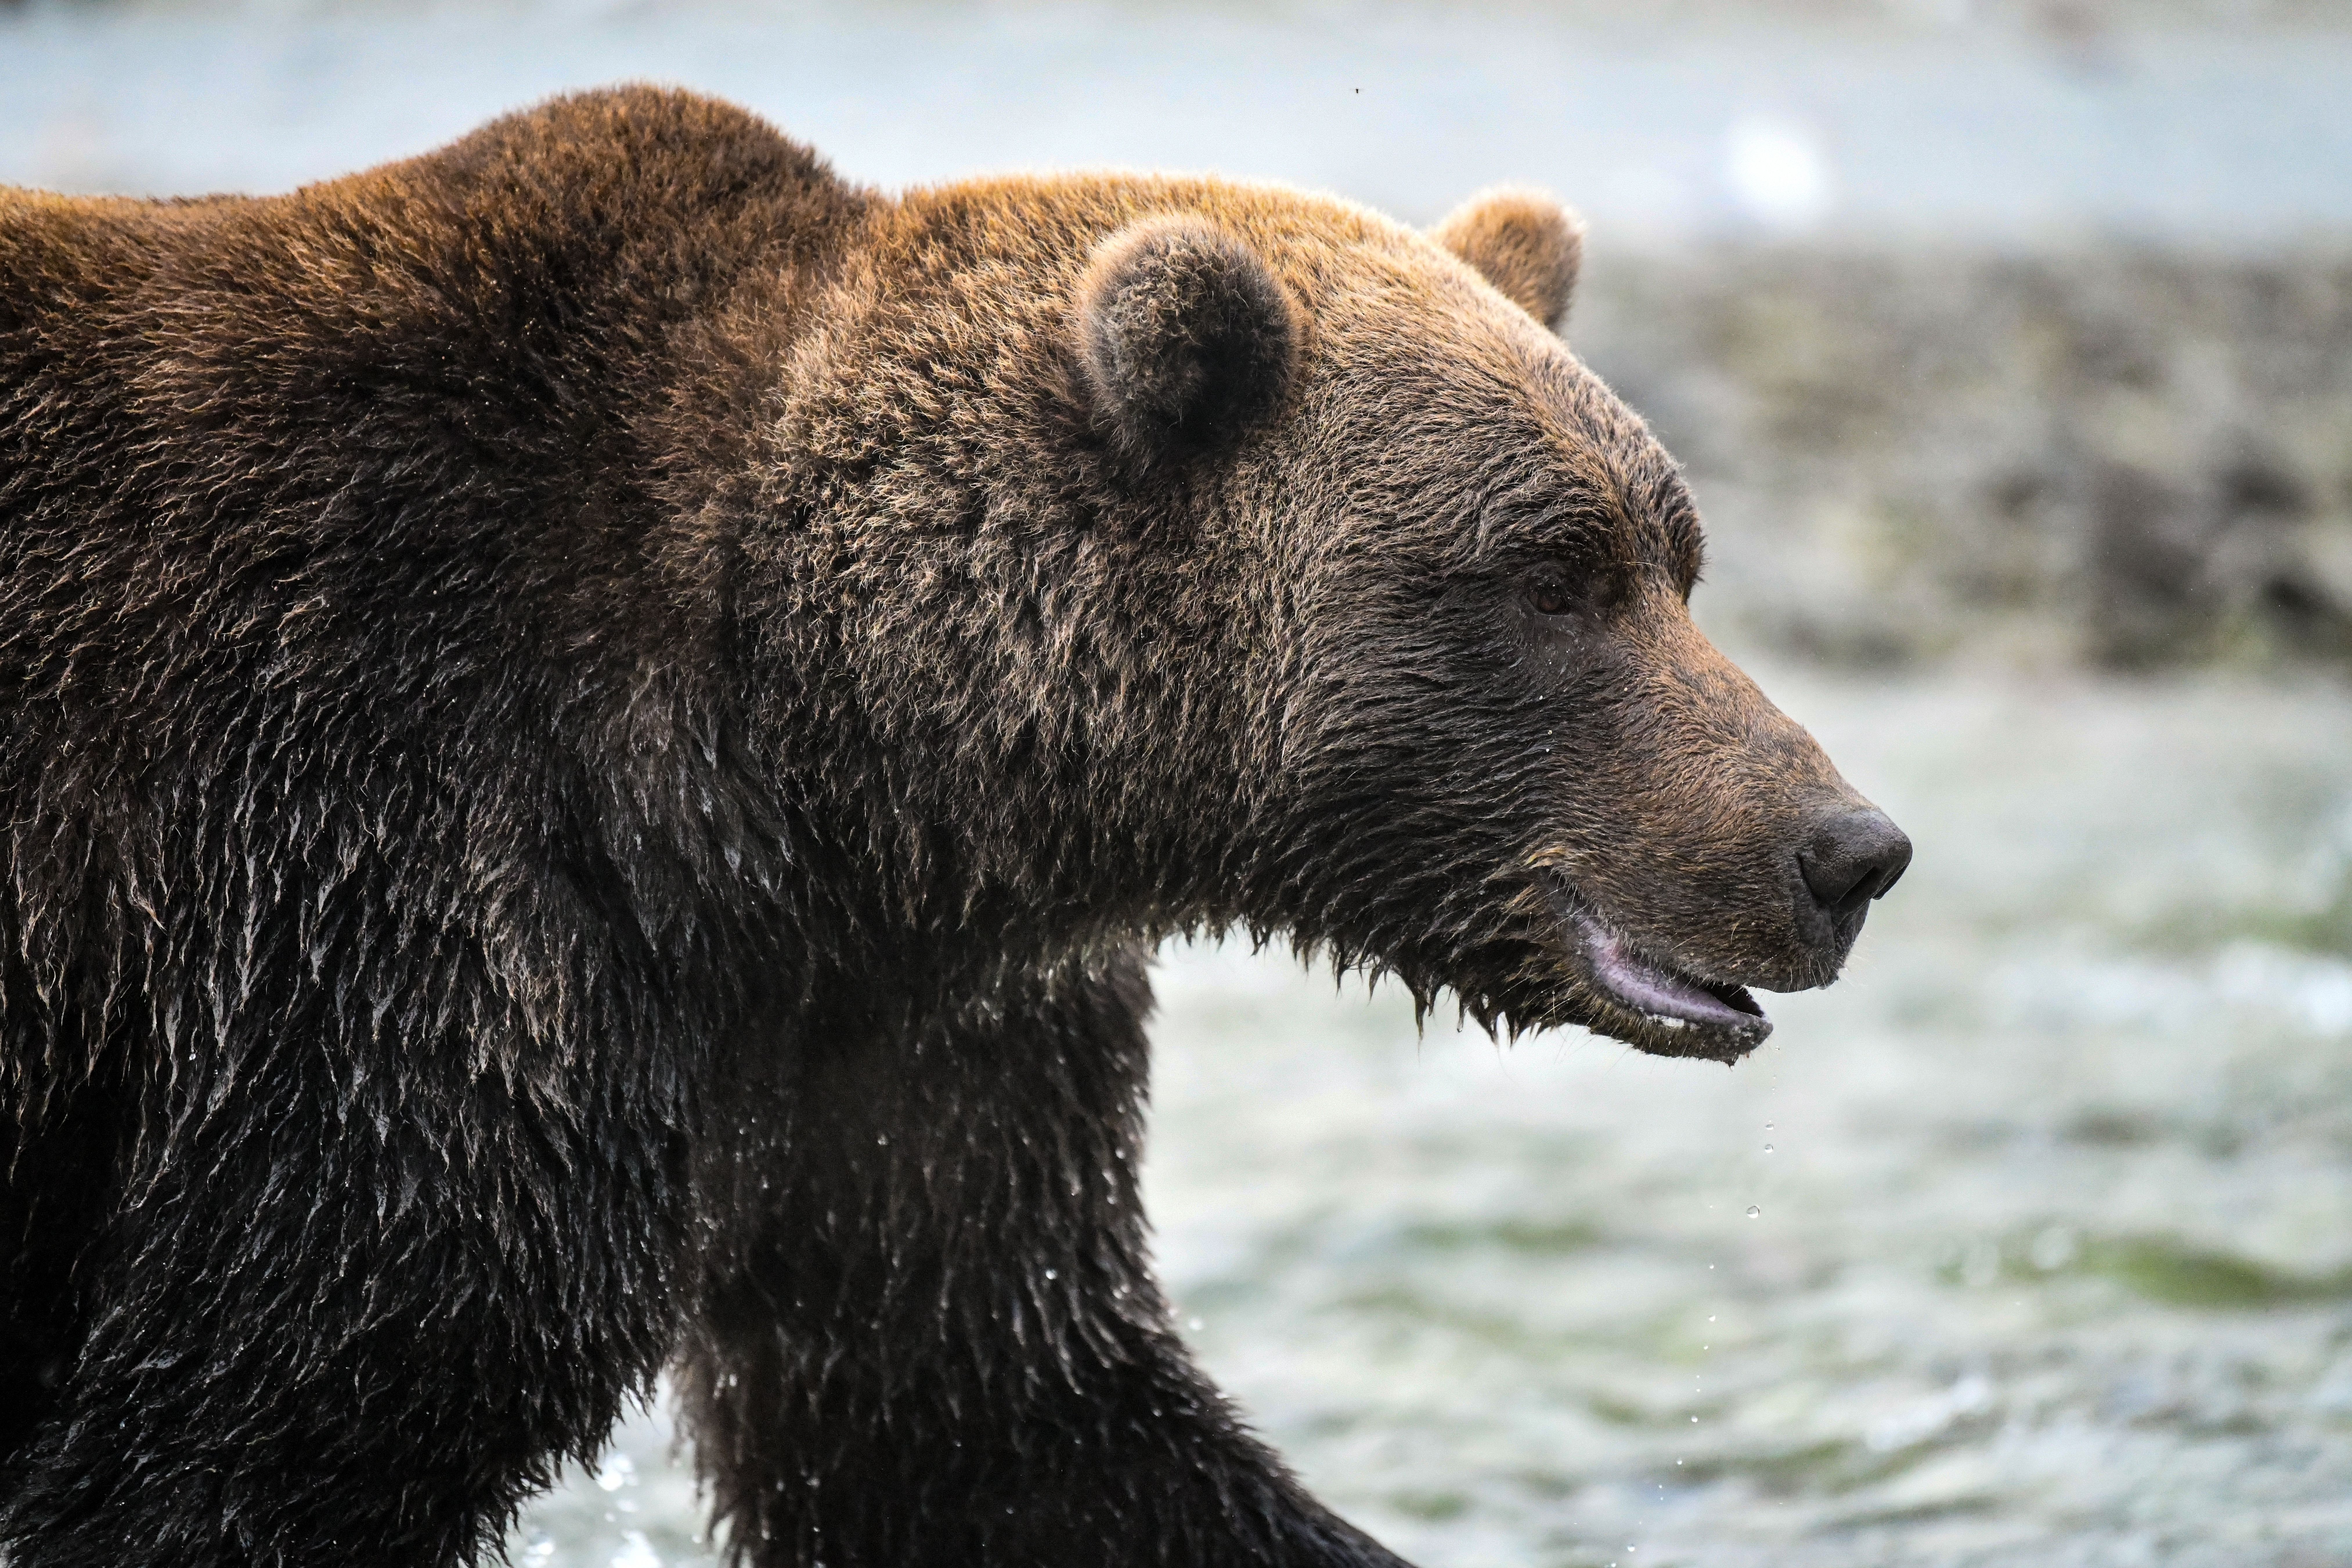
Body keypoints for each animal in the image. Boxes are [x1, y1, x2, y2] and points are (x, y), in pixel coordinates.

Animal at [0, 87, 1910, 1566]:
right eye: (1551, 576)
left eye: (1676, 559)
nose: (1848, 850)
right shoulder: (395, 915)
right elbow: (277, 1425)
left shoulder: (902, 1035)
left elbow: (994, 1415)